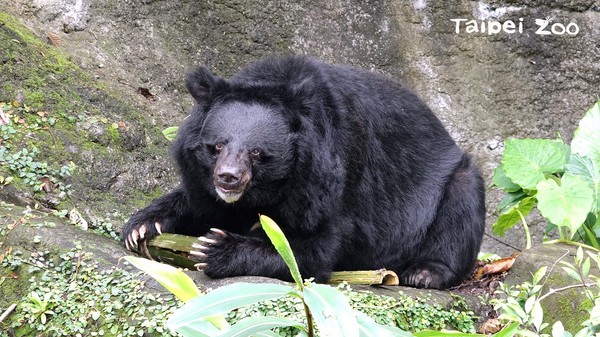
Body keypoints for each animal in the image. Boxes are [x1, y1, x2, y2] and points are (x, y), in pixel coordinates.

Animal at [120, 55, 482, 288]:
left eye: (256, 152)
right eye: (217, 146)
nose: (228, 178)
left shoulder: (326, 176)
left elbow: (312, 247)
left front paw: (214, 248)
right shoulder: (202, 177)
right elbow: (202, 205)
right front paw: (142, 227)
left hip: (451, 182)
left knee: (460, 209)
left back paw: (423, 273)